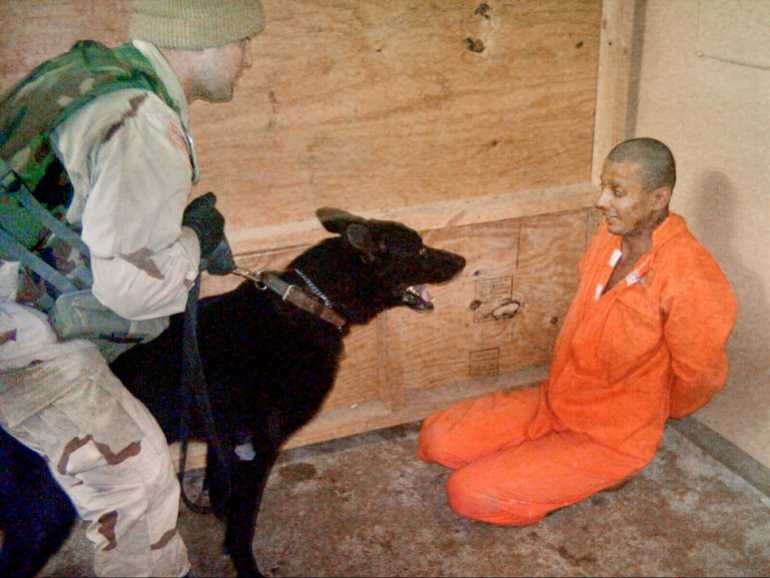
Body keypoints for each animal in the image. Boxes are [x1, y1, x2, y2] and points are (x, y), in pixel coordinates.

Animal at [0, 208, 462, 576]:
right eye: (420, 250)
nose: (461, 259)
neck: (310, 302)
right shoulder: (257, 451)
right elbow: (244, 525)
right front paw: (246, 566)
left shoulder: (225, 444)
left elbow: (223, 498)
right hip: (45, 512)